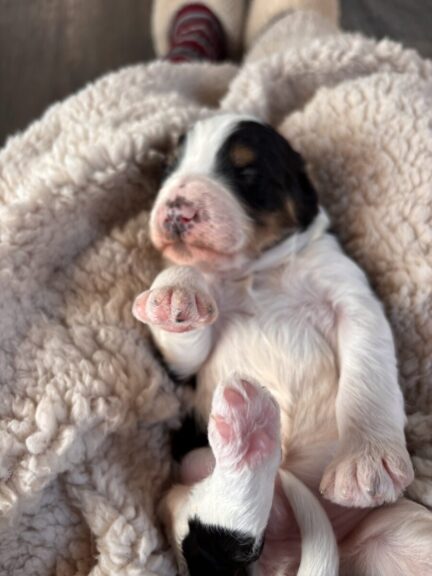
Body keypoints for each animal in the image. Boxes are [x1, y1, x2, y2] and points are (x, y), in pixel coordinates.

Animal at [132, 113, 432, 576]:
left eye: (247, 173)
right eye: (169, 168)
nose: (177, 210)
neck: (257, 273)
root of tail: (286, 556)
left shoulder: (354, 299)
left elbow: (368, 375)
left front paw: (365, 463)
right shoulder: (184, 366)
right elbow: (186, 314)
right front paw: (175, 291)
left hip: (405, 531)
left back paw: (251, 432)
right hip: (185, 485)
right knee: (219, 521)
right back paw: (249, 434)